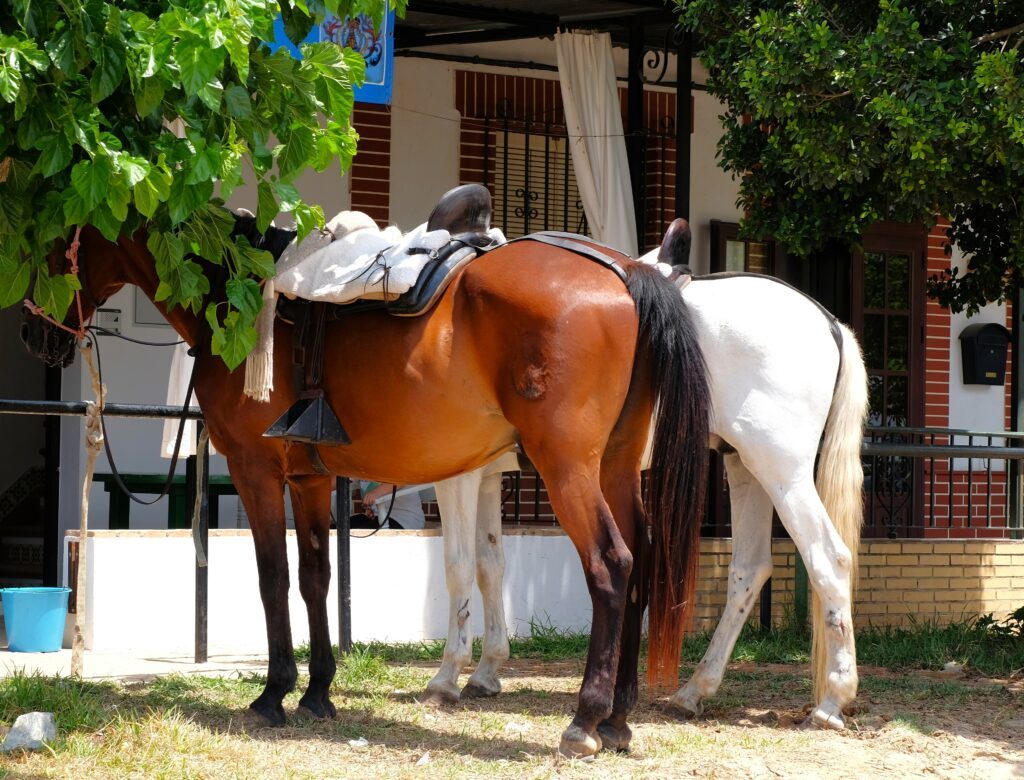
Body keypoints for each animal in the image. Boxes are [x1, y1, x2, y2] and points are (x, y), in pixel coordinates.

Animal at [20, 207, 710, 758]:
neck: (240, 300)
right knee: (643, 563)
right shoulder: (308, 479)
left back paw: (586, 719)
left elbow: (273, 579)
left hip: (567, 468)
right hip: (615, 465)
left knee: (612, 566)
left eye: (52, 248)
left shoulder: (255, 470)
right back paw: (618, 720)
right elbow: (315, 577)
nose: (32, 333)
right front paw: (318, 692)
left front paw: (274, 694)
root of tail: (626, 273)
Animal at [426, 263, 868, 731]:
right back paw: (694, 691)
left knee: (829, 561)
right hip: (745, 467)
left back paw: (831, 702)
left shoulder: (459, 476)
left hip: (782, 470)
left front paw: (446, 677)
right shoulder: (487, 478)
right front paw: (486, 672)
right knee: (749, 570)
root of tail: (829, 323)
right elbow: (490, 565)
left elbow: (458, 567)